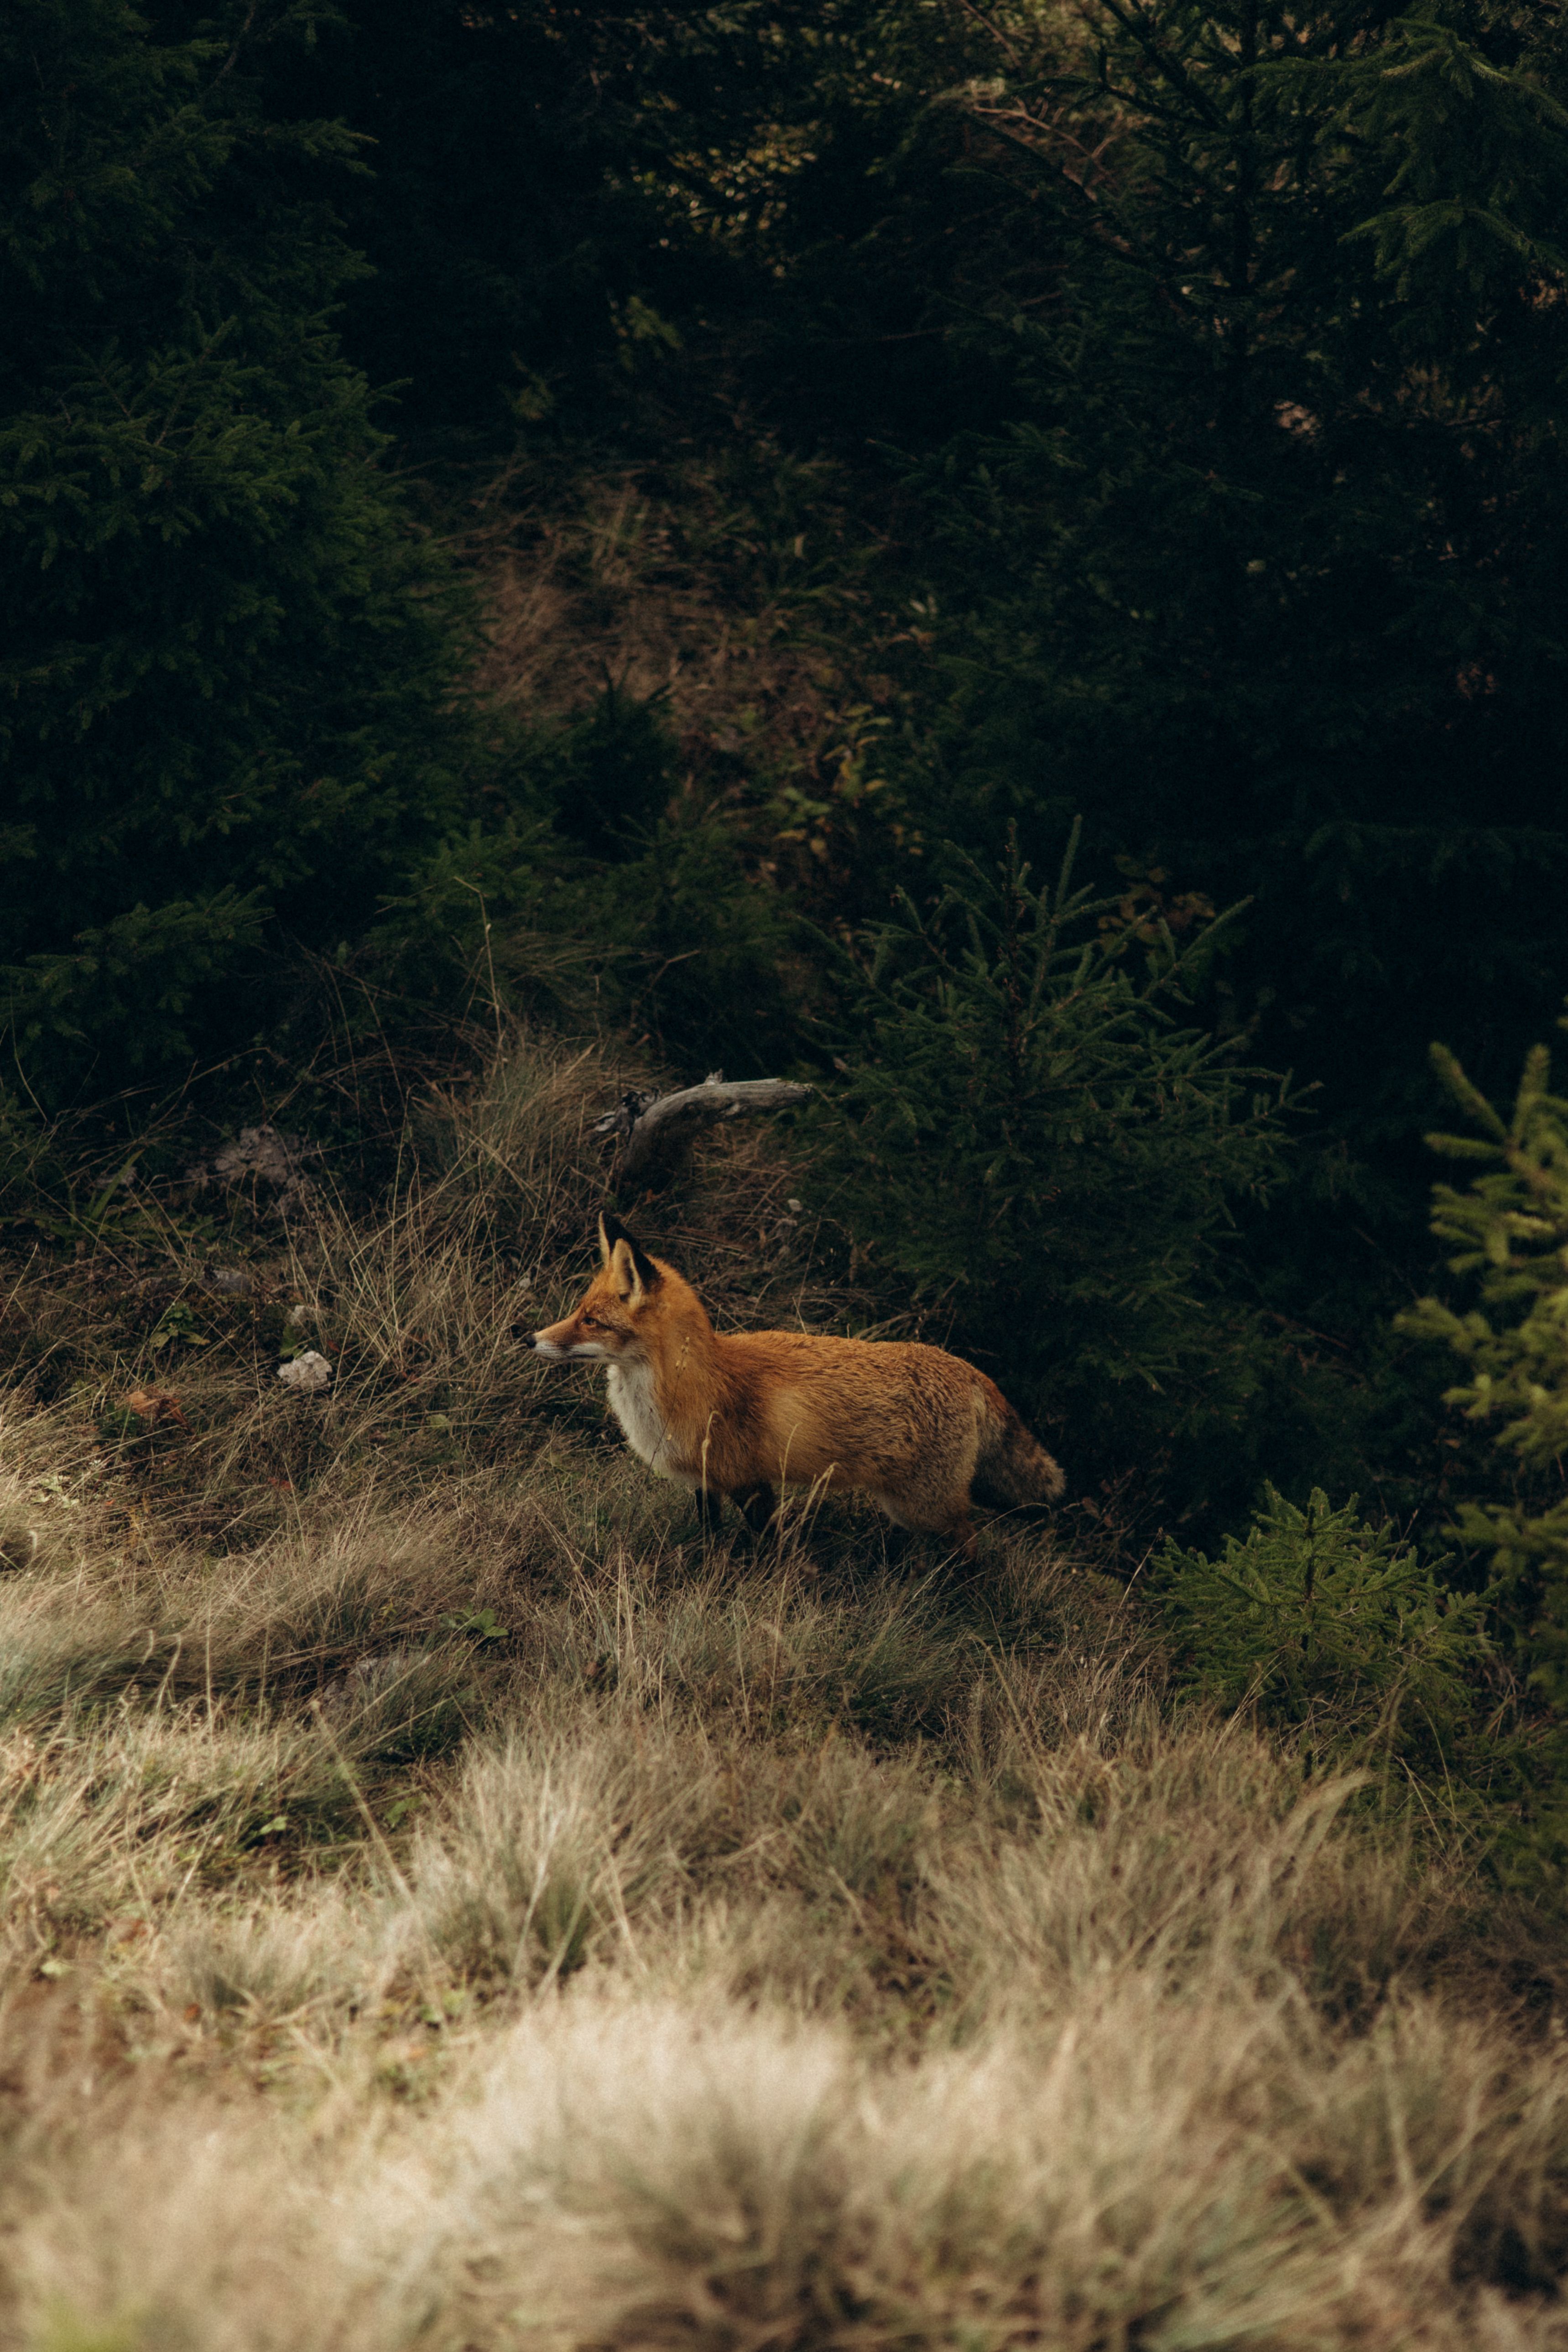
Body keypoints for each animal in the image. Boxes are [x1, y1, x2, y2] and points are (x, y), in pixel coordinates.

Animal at [519, 1213, 1065, 1559]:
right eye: (578, 1311)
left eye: (591, 1321)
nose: (528, 1338)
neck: (689, 1384)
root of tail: (968, 1368)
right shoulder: (706, 1483)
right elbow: (710, 1538)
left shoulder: (752, 1483)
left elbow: (773, 1549)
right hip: (910, 1505)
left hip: (923, 1506)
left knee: (971, 1544)